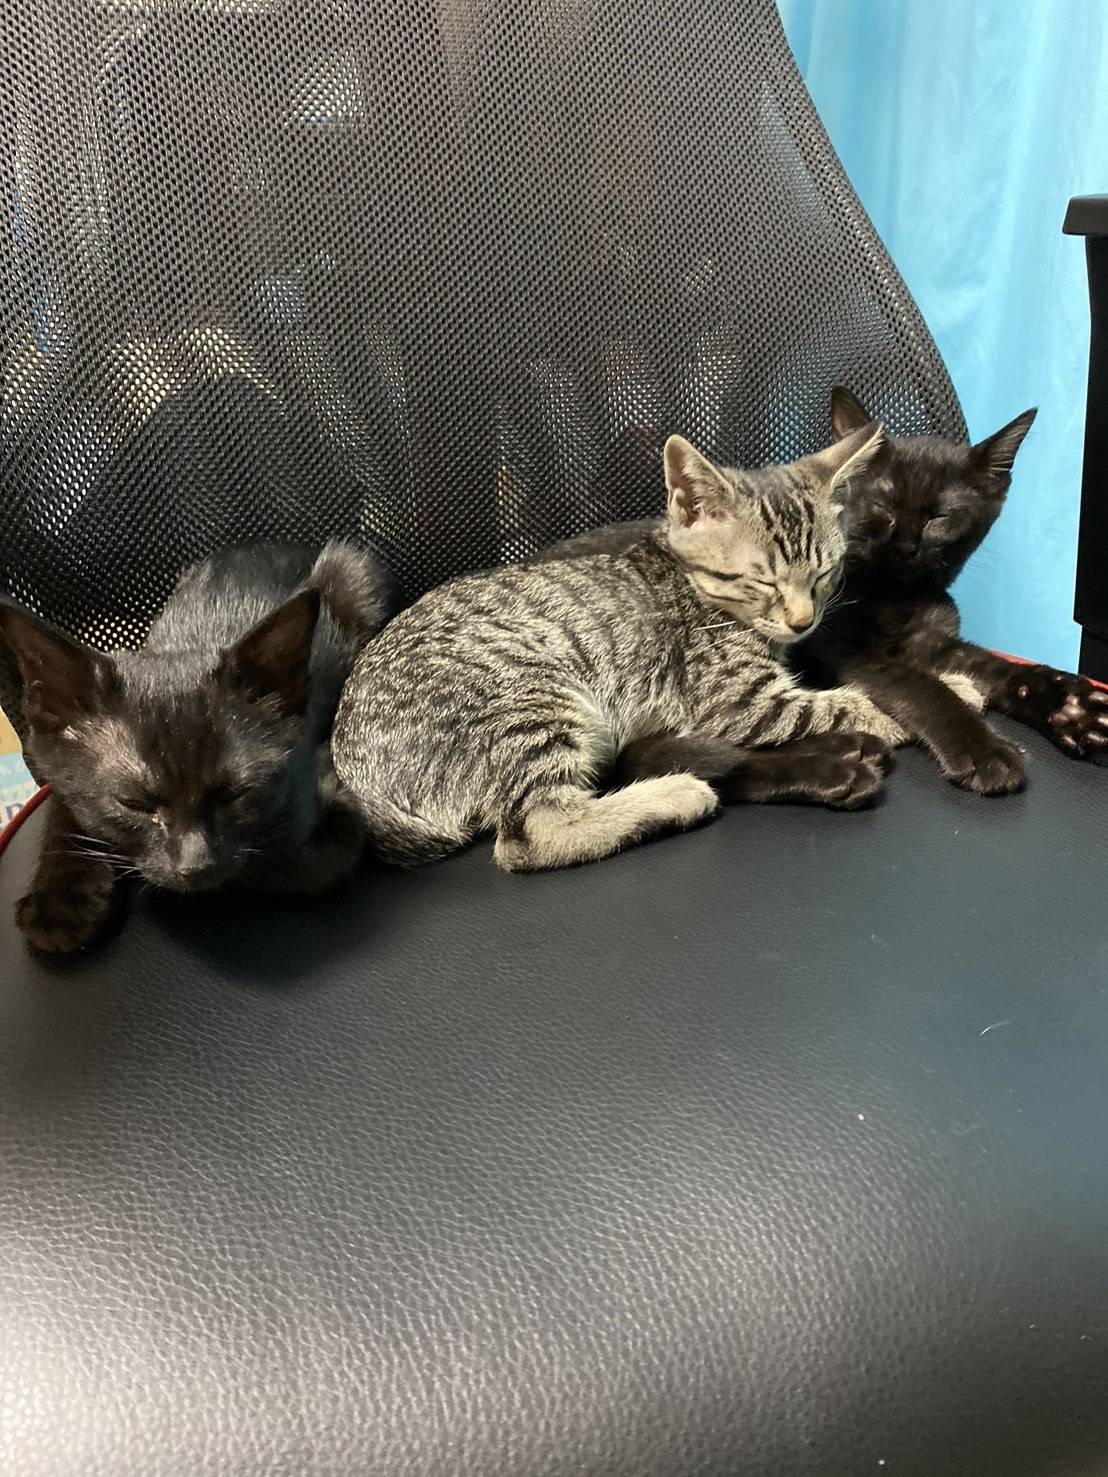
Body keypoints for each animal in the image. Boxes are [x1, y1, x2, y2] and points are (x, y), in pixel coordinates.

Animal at [0, 541, 397, 954]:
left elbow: (292, 865)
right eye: (133, 803)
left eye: (238, 793)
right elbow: (64, 800)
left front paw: (326, 779)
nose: (194, 866)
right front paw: (61, 902)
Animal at [332, 423, 916, 873]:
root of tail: (360, 788)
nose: (802, 621)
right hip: (529, 697)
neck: (696, 586)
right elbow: (835, 703)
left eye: (823, 576)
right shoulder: (734, 699)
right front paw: (908, 710)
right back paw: (676, 795)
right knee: (530, 836)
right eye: (762, 581)